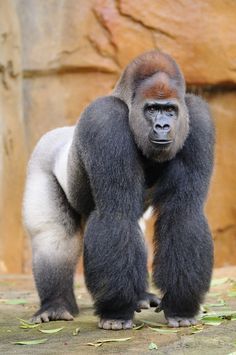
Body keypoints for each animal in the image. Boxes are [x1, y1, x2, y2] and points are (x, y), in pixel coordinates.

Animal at [23, 50, 215, 330]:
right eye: (152, 109)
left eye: (169, 110)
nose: (163, 126)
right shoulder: (104, 120)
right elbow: (115, 214)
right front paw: (116, 311)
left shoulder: (199, 119)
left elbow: (183, 214)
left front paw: (180, 305)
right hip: (41, 157)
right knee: (54, 236)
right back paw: (56, 304)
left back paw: (141, 296)